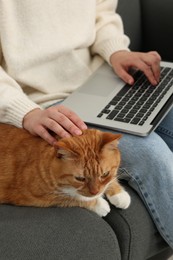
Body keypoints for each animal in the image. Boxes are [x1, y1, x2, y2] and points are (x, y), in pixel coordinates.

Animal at [0, 123, 130, 216]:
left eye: (105, 174)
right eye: (80, 178)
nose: (95, 192)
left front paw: (119, 194)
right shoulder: (36, 197)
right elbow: (72, 197)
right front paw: (99, 204)